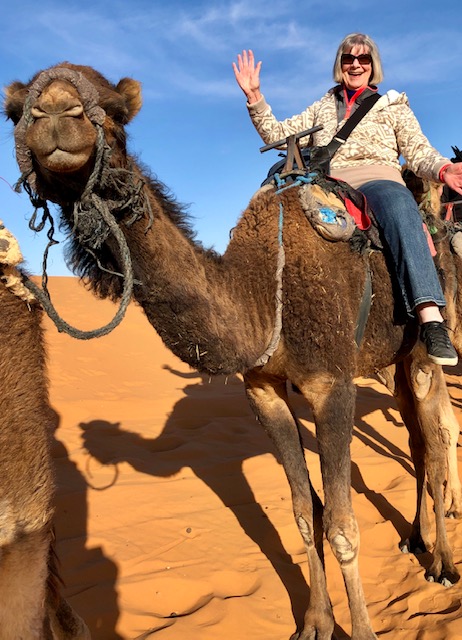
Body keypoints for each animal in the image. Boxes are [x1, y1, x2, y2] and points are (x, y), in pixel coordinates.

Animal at [3, 63, 462, 640]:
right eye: (17, 112)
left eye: (114, 112)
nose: (56, 114)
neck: (265, 292)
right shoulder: (264, 390)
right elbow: (303, 513)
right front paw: (316, 622)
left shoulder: (331, 386)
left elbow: (342, 524)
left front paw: (360, 630)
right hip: (391, 358)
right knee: (421, 443)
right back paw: (416, 539)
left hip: (423, 342)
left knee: (439, 437)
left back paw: (442, 563)